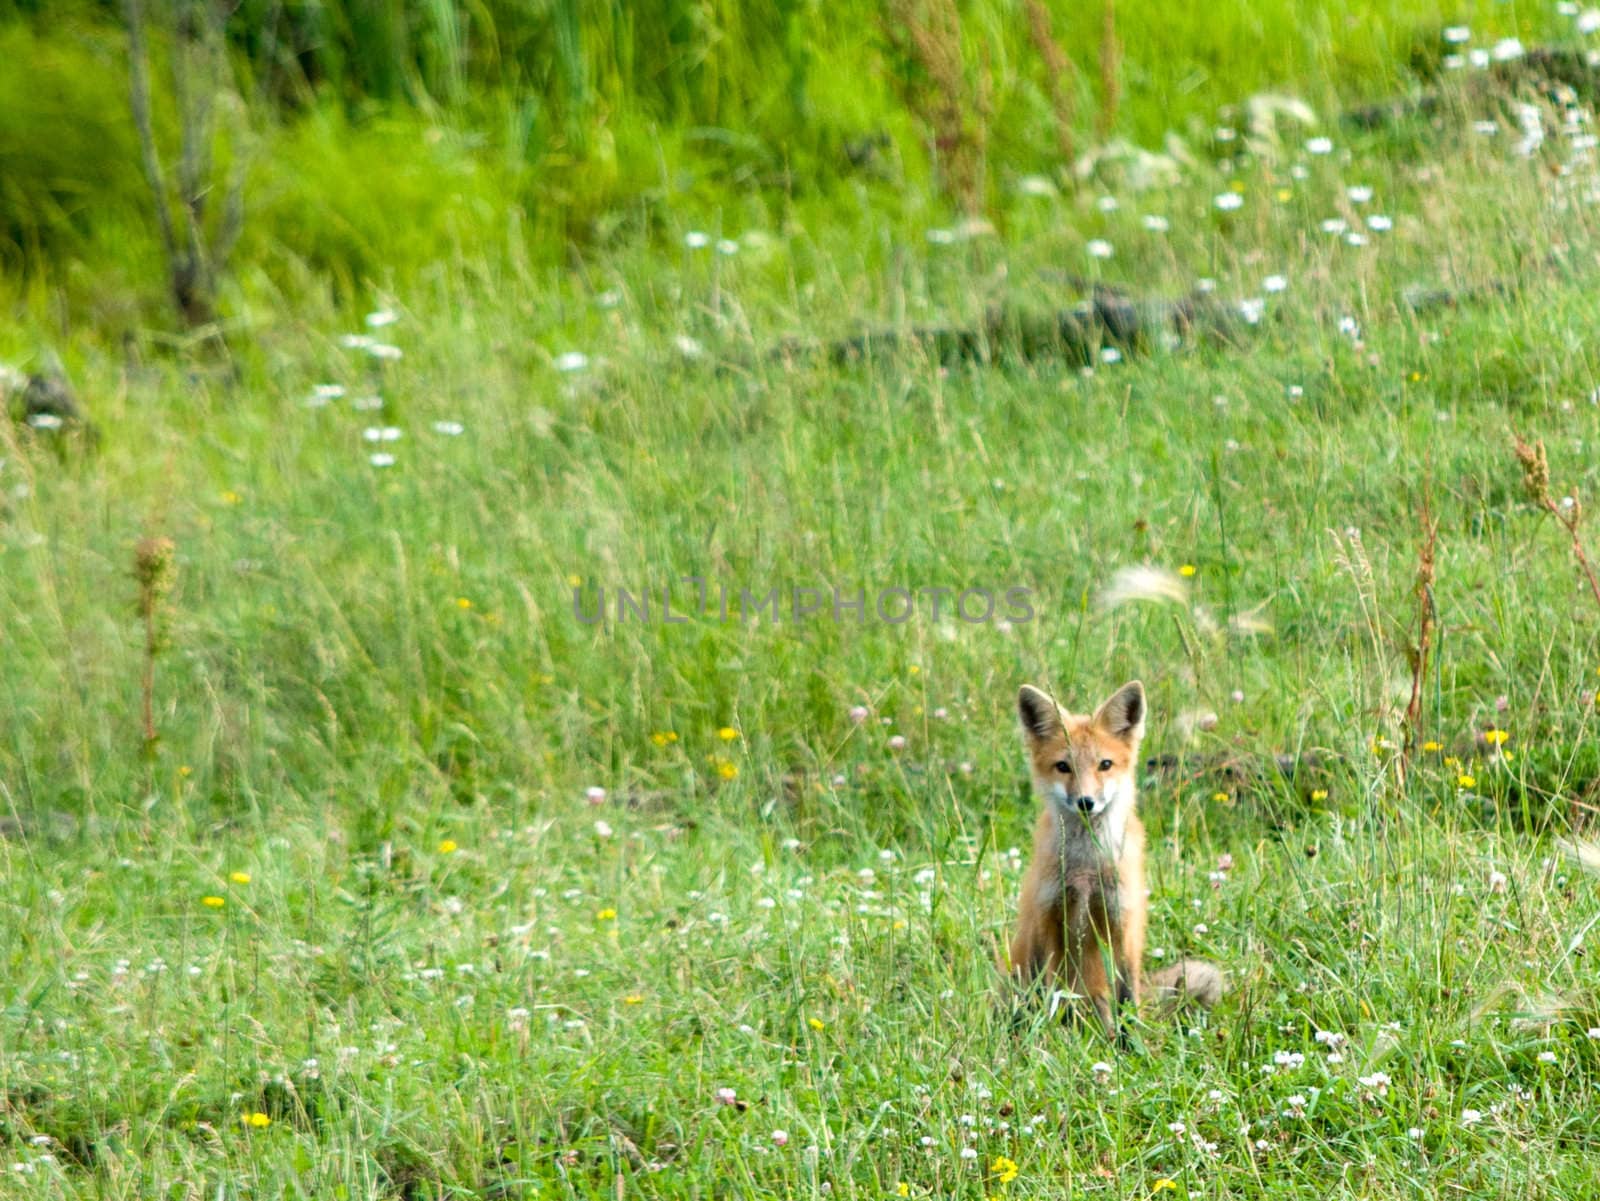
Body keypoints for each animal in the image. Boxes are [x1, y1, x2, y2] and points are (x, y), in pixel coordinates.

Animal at [1011, 681, 1222, 1036]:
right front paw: (1045, 1036)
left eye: (1105, 765)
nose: (1085, 801)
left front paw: (1129, 1041)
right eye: (1063, 767)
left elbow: (1126, 995)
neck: (1085, 870)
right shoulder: (1048, 917)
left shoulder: (1120, 921)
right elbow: (1049, 992)